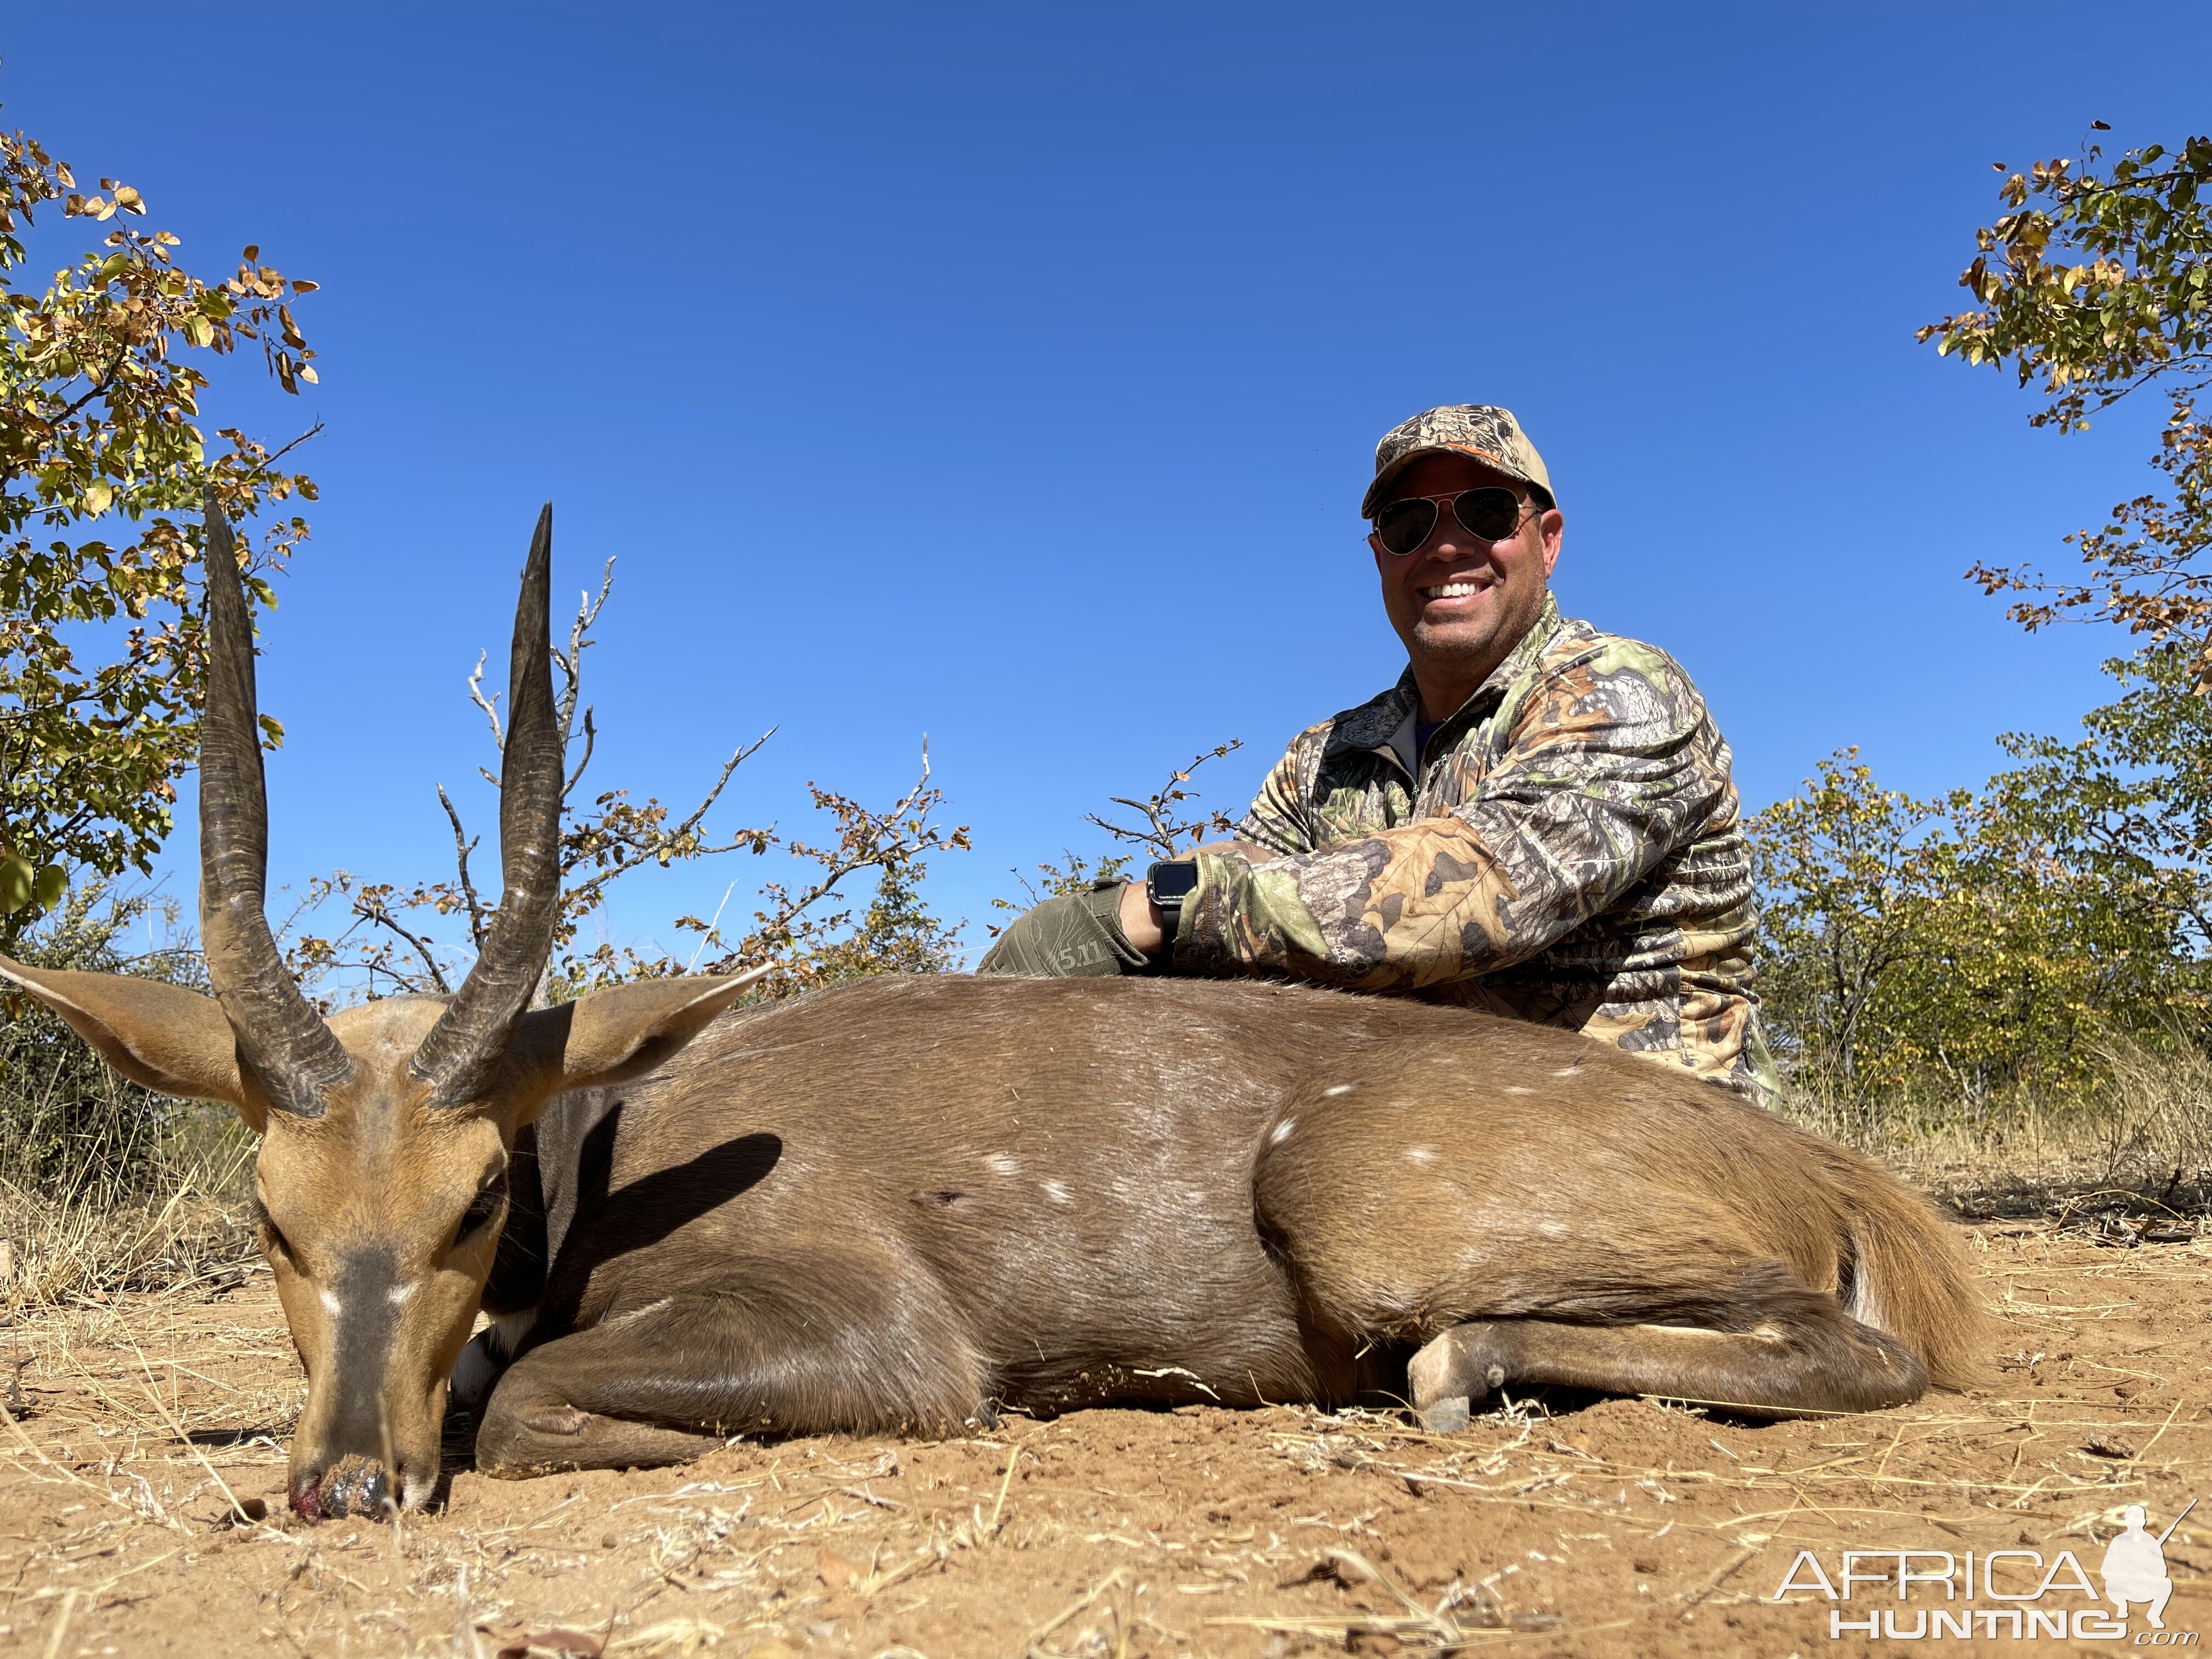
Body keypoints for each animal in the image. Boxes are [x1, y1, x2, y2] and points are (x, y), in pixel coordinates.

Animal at [0, 504, 1990, 1522]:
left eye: (477, 1197)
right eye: (269, 1214)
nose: (340, 1484)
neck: (621, 1146)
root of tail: (1827, 1174)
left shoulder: (877, 1336)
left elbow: (525, 1399)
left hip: (1361, 1213)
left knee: (1847, 1348)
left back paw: (1461, 1374)